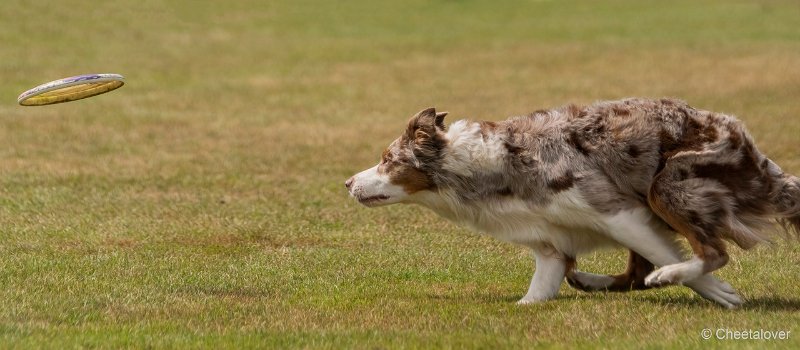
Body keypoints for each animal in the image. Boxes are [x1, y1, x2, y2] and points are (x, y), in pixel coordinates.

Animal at [346, 97, 800, 308]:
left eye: (387, 160)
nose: (348, 182)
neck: (478, 165)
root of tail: (752, 148)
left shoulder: (618, 212)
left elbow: (669, 253)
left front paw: (717, 292)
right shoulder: (550, 240)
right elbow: (541, 286)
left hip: (666, 186)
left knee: (710, 252)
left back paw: (669, 275)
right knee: (634, 274)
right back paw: (593, 281)